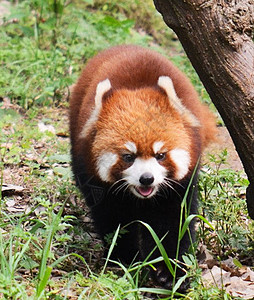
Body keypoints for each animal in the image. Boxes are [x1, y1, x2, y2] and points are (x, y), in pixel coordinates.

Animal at [69, 44, 216, 288]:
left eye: (160, 155)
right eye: (128, 156)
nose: (147, 178)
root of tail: (128, 45)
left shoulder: (179, 185)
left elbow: (173, 222)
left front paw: (170, 272)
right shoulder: (97, 180)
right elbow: (114, 219)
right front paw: (126, 260)